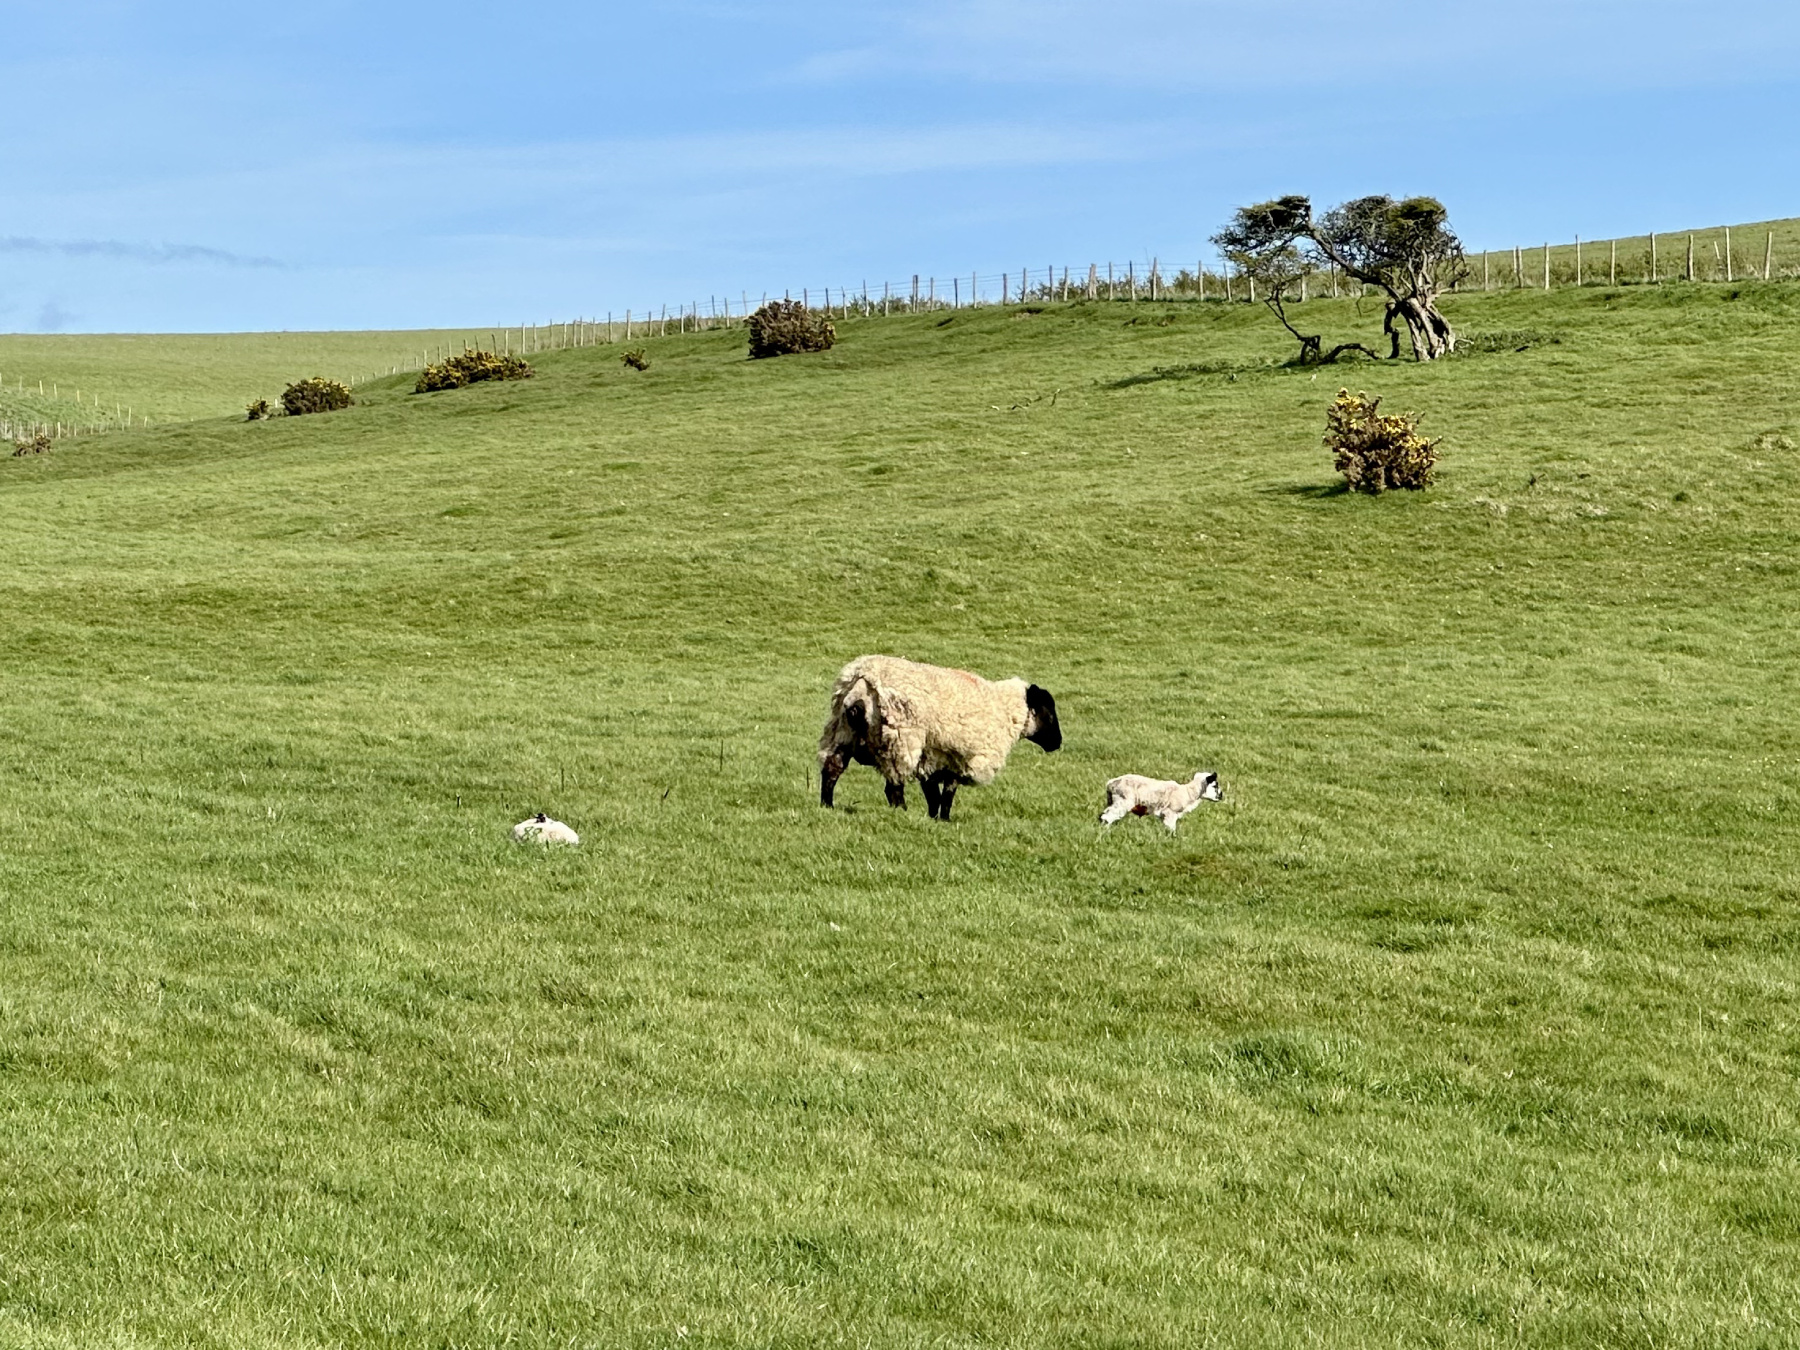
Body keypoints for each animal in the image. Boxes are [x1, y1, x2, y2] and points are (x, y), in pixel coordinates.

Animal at [818, 654, 1062, 820]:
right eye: (1049, 713)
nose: (1058, 743)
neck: (1003, 708)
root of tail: (863, 683)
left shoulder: (934, 756)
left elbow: (933, 793)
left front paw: (934, 818)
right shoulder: (959, 758)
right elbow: (947, 794)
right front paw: (944, 819)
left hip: (841, 732)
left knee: (832, 769)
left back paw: (827, 805)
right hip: (900, 740)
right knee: (893, 786)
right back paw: (902, 811)